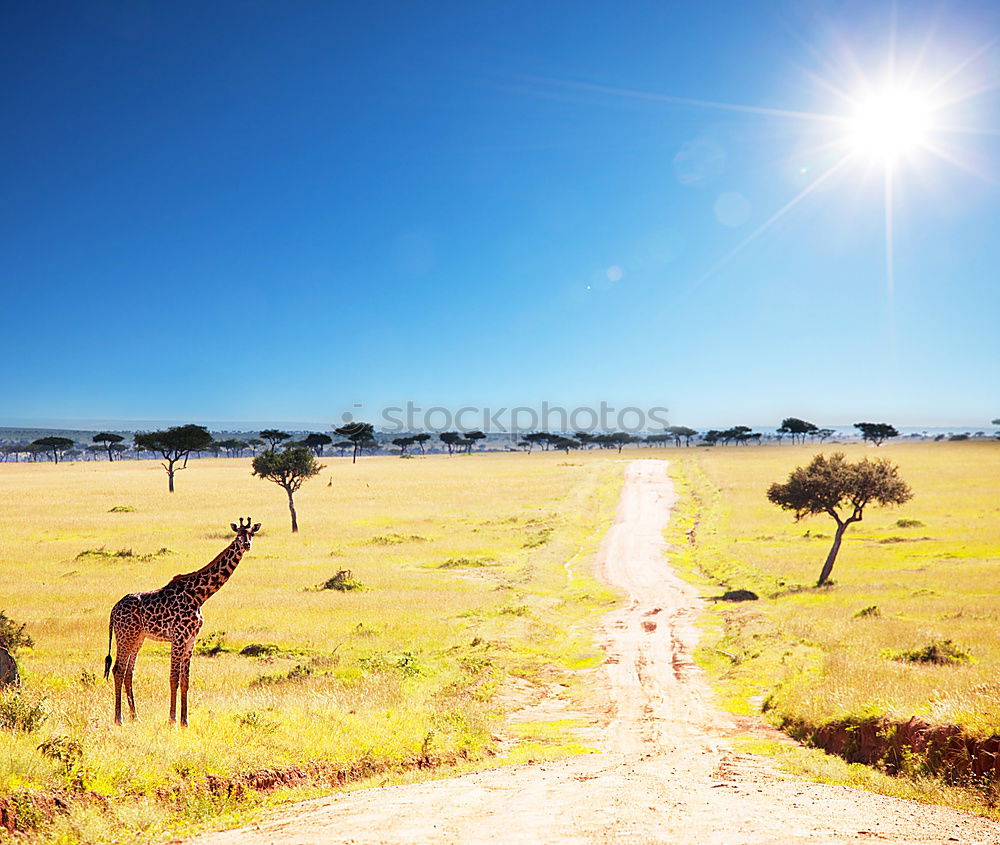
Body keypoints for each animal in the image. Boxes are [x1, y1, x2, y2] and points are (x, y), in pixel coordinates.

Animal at [103, 516, 260, 724]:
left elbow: (185, 680)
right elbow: (173, 678)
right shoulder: (178, 638)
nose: (247, 544)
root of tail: (113, 610)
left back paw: (135, 717)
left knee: (129, 672)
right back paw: (118, 719)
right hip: (125, 636)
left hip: (138, 638)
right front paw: (172, 720)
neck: (199, 595)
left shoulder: (191, 639)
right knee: (118, 669)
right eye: (238, 535)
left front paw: (185, 721)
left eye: (252, 533)